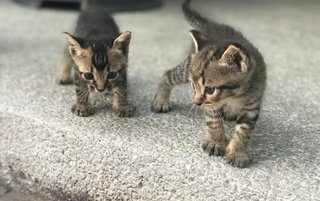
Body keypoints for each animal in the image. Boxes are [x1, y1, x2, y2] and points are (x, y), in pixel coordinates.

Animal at [151, 0, 266, 168]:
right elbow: (214, 121)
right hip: (185, 70)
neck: (234, 95)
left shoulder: (252, 105)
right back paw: (160, 100)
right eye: (194, 86)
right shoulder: (210, 105)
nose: (196, 103)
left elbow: (244, 131)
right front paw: (216, 142)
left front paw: (238, 153)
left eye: (210, 89)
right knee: (167, 74)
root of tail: (212, 27)